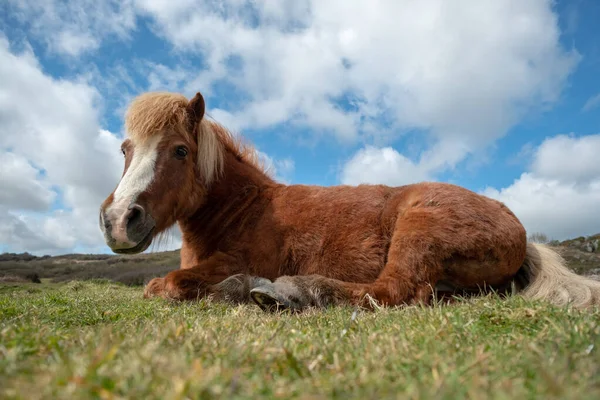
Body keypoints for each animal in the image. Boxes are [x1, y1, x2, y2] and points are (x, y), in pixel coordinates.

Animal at [99, 91, 600, 312]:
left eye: (180, 151)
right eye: (124, 149)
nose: (120, 220)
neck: (245, 209)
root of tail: (520, 232)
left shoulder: (233, 261)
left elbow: (168, 284)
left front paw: (238, 287)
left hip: (418, 232)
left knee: (391, 291)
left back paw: (292, 291)